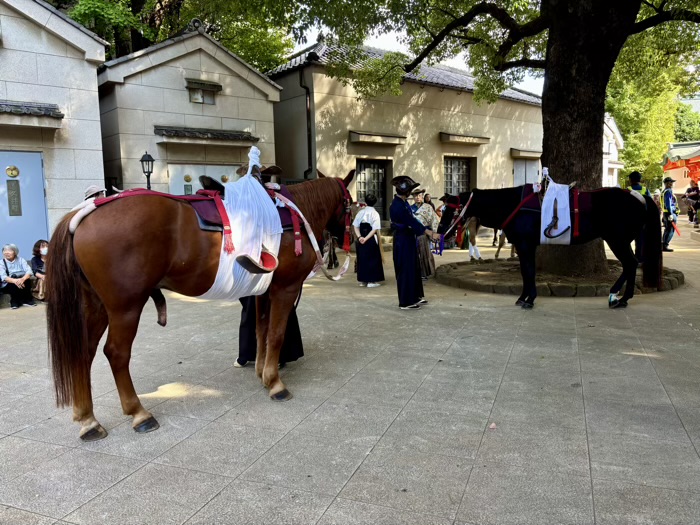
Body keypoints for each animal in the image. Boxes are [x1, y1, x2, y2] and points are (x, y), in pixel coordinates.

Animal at [45, 169, 355, 441]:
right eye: (350, 203)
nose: (346, 237)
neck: (293, 214)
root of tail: (84, 213)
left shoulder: (263, 291)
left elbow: (261, 331)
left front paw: (262, 373)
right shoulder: (284, 289)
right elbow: (276, 334)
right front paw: (275, 383)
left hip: (96, 306)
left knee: (84, 353)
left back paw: (88, 419)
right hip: (125, 307)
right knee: (116, 354)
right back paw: (138, 413)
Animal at [438, 186, 661, 309]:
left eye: (453, 209)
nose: (440, 230)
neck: (515, 205)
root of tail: (639, 197)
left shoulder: (525, 245)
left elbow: (528, 271)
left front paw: (528, 298)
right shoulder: (525, 246)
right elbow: (526, 271)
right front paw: (525, 297)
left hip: (617, 240)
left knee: (630, 264)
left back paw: (619, 297)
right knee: (630, 264)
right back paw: (620, 296)